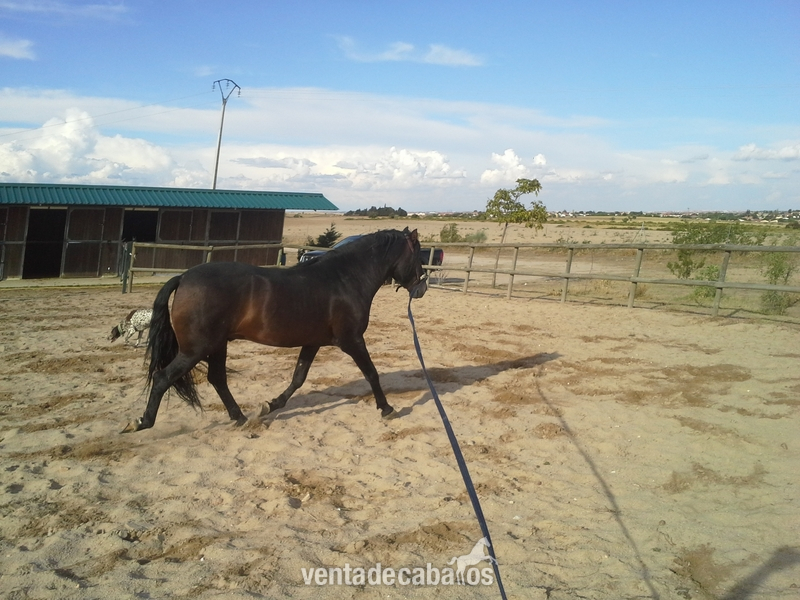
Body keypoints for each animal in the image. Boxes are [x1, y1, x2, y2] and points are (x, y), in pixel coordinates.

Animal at [123, 228, 428, 433]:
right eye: (417, 254)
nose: (422, 287)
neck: (344, 278)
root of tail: (184, 277)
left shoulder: (313, 342)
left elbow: (298, 378)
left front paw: (269, 405)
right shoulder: (352, 340)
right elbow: (371, 373)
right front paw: (387, 409)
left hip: (217, 345)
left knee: (217, 379)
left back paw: (240, 418)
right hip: (195, 349)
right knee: (163, 378)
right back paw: (141, 422)